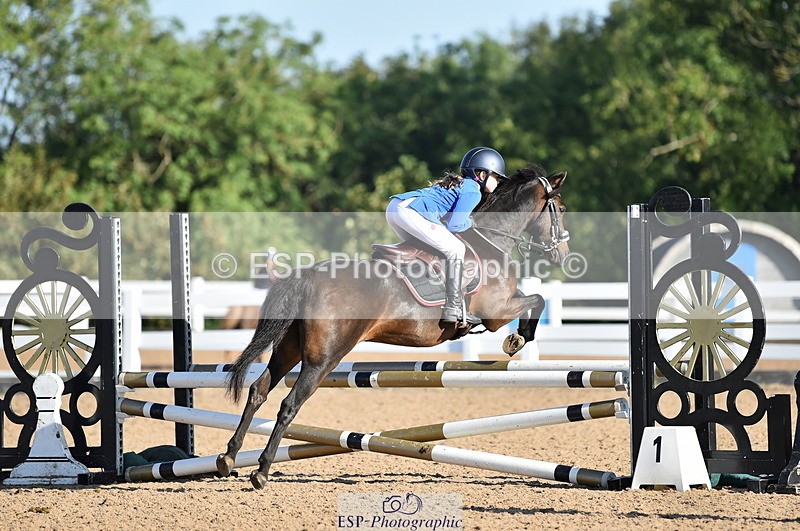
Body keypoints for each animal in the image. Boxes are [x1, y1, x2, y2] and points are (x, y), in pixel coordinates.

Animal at [216, 164, 570, 489]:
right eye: (563, 209)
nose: (563, 256)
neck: (491, 241)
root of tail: (307, 277)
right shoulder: (497, 311)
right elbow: (537, 299)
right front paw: (518, 340)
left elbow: (533, 298)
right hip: (323, 358)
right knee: (289, 404)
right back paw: (261, 471)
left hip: (288, 349)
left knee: (259, 390)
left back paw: (228, 457)